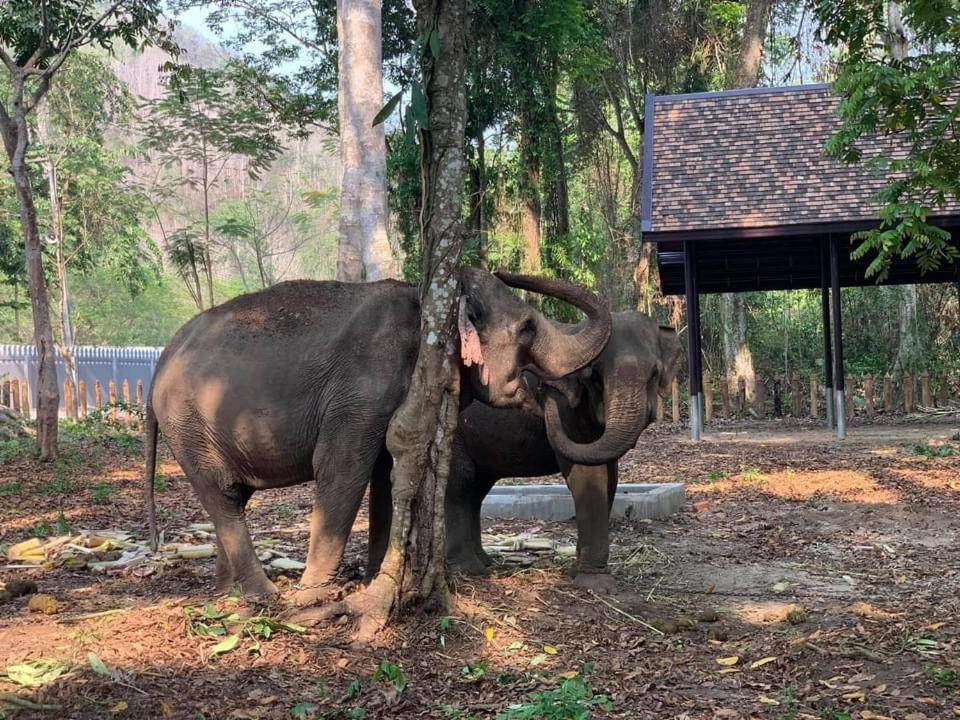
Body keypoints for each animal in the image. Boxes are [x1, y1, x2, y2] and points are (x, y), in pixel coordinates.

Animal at [141, 268, 616, 600]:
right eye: (528, 327)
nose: (555, 392)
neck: (424, 299)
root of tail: (160, 362)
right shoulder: (360, 390)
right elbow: (341, 467)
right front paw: (314, 599)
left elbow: (386, 473)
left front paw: (374, 580)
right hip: (188, 424)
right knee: (222, 494)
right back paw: (265, 596)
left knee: (232, 496)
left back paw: (229, 593)